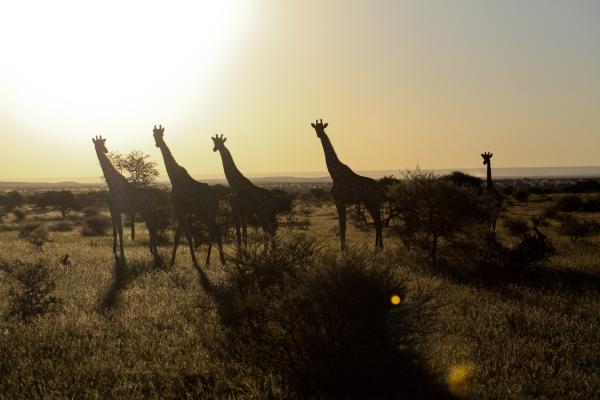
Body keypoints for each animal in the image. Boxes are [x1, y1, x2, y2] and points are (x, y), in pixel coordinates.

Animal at [152, 124, 227, 266]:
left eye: (161, 134)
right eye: (154, 135)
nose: (157, 144)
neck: (173, 177)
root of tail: (216, 198)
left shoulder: (178, 209)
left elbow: (183, 236)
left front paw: (178, 261)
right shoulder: (182, 211)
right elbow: (183, 235)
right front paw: (183, 261)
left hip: (204, 213)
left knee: (216, 229)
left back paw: (222, 260)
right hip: (208, 214)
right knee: (214, 229)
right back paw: (209, 261)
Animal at [310, 119, 384, 250]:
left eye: (322, 128)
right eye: (315, 128)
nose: (319, 135)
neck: (334, 174)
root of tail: (379, 188)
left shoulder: (339, 200)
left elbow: (342, 225)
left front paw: (342, 249)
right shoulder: (339, 201)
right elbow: (342, 224)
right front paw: (343, 247)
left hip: (373, 201)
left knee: (378, 221)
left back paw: (379, 247)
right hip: (371, 202)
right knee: (377, 221)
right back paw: (377, 246)